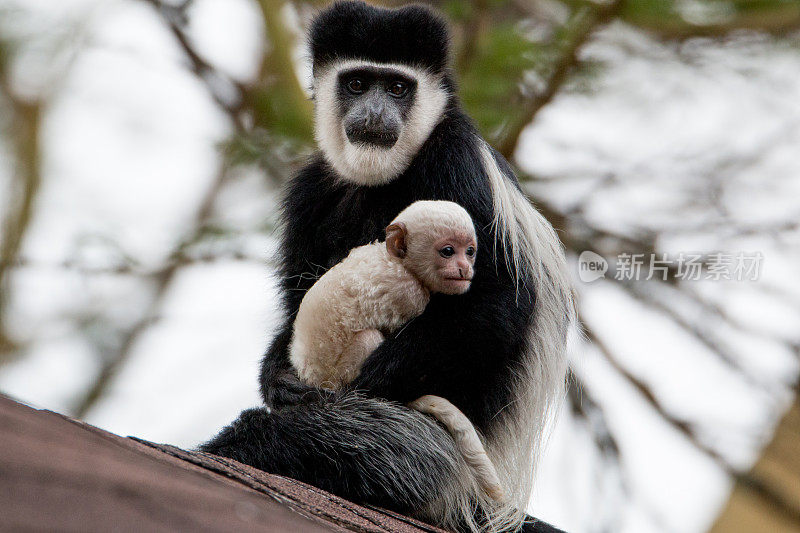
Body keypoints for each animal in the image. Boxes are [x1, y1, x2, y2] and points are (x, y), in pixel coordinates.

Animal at [290, 201, 504, 502]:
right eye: (448, 251)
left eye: (470, 251)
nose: (464, 267)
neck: (399, 262)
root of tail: (312, 376)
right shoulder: (409, 293)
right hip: (339, 372)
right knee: (367, 339)